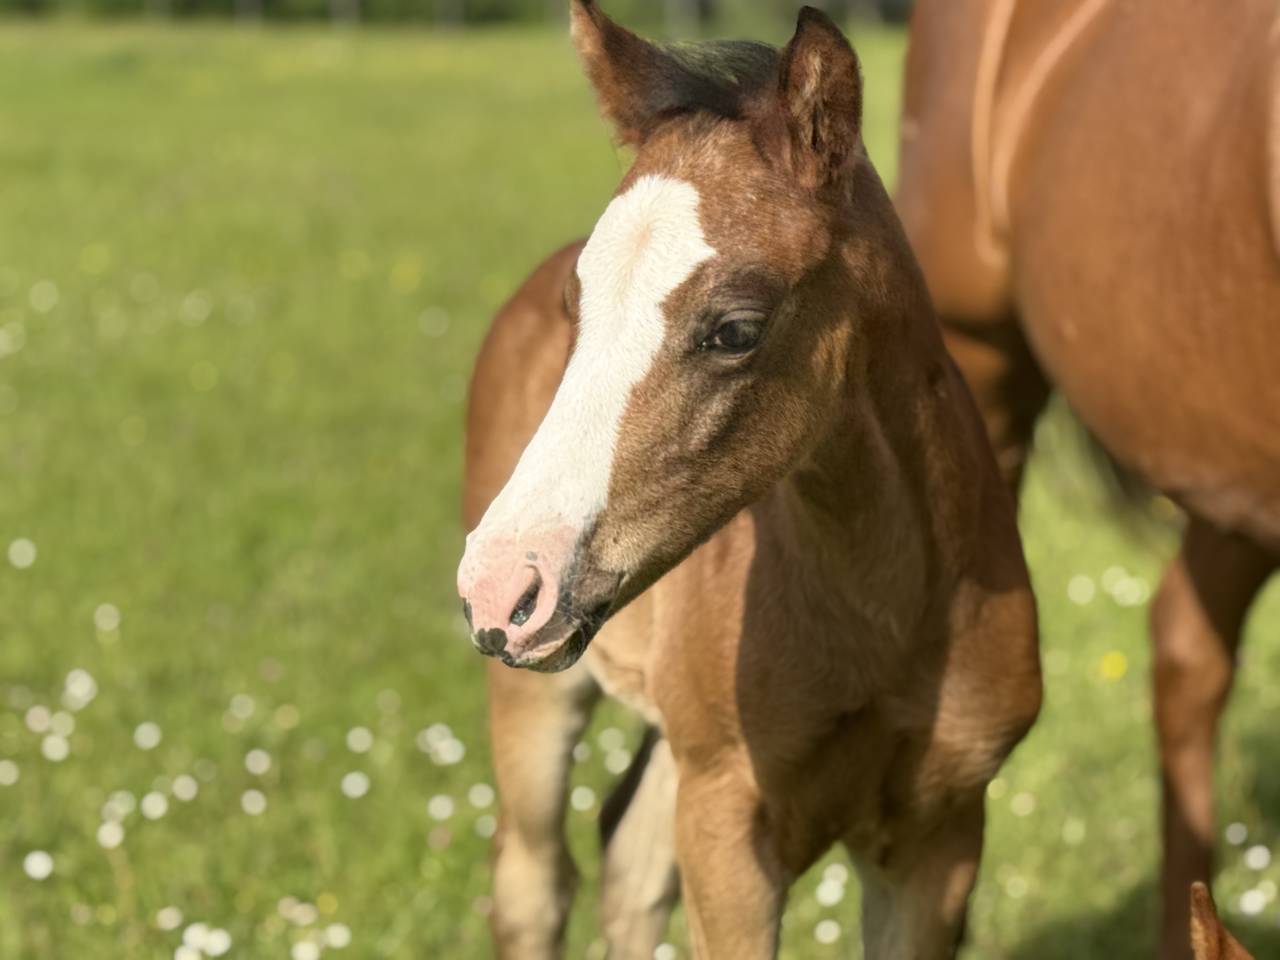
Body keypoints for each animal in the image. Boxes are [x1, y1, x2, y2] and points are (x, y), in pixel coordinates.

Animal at [456, 3, 1042, 957]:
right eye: (578, 311)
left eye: (735, 329)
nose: (501, 582)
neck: (883, 614)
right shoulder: (730, 822)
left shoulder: (942, 832)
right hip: (541, 697)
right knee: (535, 879)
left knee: (629, 862)